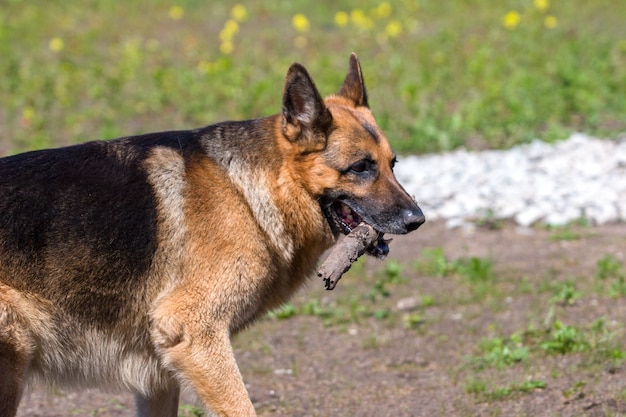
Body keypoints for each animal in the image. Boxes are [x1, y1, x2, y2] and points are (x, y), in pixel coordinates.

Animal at [0, 55, 424, 416]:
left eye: (393, 165)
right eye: (360, 168)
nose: (417, 220)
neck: (247, 191)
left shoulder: (159, 378)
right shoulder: (196, 334)